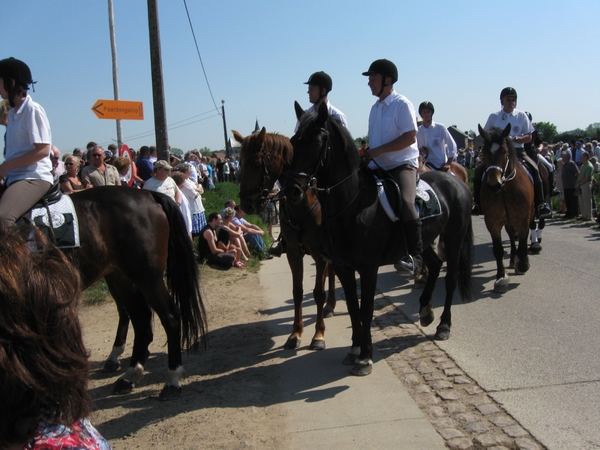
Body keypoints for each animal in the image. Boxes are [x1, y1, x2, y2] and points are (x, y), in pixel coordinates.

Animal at [234, 128, 338, 350]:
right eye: (240, 162)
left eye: (256, 163)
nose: (246, 204)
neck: (302, 201)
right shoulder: (293, 253)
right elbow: (297, 291)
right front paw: (295, 333)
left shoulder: (319, 254)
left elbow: (318, 292)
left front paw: (318, 335)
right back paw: (331, 305)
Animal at [478, 123, 536, 294]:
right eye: (483, 152)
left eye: (503, 151)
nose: (493, 185)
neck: (504, 189)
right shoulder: (492, 222)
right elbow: (498, 250)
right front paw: (501, 278)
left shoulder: (523, 219)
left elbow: (523, 242)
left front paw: (523, 264)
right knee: (511, 235)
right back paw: (512, 259)